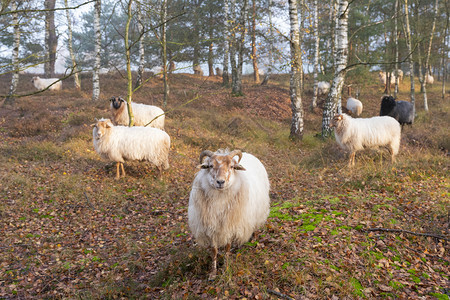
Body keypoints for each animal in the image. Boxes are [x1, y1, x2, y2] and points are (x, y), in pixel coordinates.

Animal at [187, 149, 268, 280]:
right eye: (210, 166)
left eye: (231, 166)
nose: (220, 182)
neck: (219, 200)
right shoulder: (211, 228)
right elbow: (214, 251)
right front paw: (213, 273)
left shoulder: (230, 226)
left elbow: (227, 248)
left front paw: (226, 268)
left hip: (259, 210)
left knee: (256, 225)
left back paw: (254, 240)